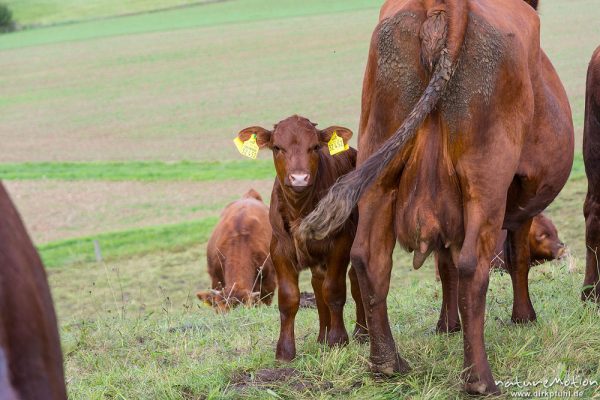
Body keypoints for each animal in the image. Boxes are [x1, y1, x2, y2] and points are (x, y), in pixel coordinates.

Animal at [237, 115, 368, 362]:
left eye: (315, 147)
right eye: (277, 147)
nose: (299, 178)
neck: (300, 211)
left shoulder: (340, 242)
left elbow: (334, 291)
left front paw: (338, 340)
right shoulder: (279, 250)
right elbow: (289, 299)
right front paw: (285, 350)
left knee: (356, 279)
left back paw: (361, 332)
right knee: (318, 285)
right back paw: (322, 336)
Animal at [298, 0, 576, 394]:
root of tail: (445, 6)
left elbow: (445, 265)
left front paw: (447, 325)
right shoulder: (521, 202)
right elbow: (515, 256)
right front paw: (524, 317)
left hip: (378, 164)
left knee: (369, 258)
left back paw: (387, 363)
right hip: (485, 180)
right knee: (473, 267)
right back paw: (479, 380)